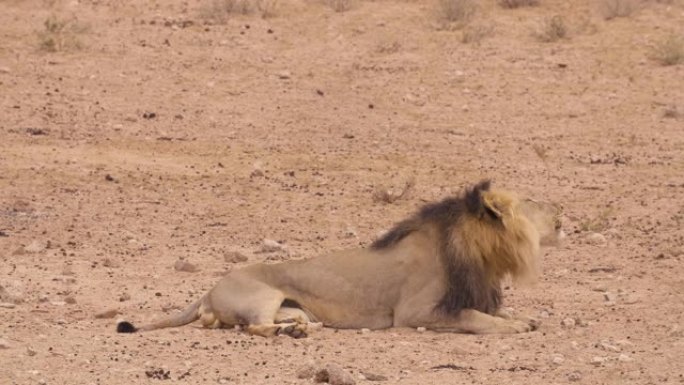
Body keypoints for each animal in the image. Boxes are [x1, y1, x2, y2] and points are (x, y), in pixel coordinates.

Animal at [117, 180, 564, 336]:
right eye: (532, 203)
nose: (562, 215)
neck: (481, 256)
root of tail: (209, 289)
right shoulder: (416, 312)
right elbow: (479, 319)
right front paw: (517, 325)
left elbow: (495, 313)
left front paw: (525, 317)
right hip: (261, 295)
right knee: (255, 327)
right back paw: (290, 334)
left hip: (287, 303)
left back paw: (298, 325)